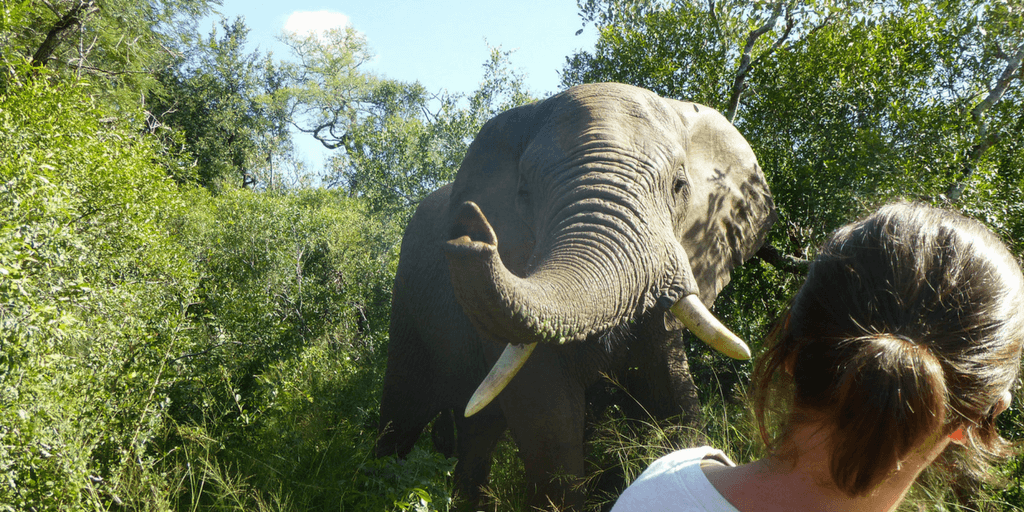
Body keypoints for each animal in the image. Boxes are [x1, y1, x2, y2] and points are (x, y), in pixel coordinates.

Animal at [376, 82, 774, 507]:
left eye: (679, 186)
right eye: (524, 193)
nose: (469, 231)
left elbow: (672, 394)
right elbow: (548, 420)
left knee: (476, 430)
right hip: (406, 305)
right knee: (401, 417)